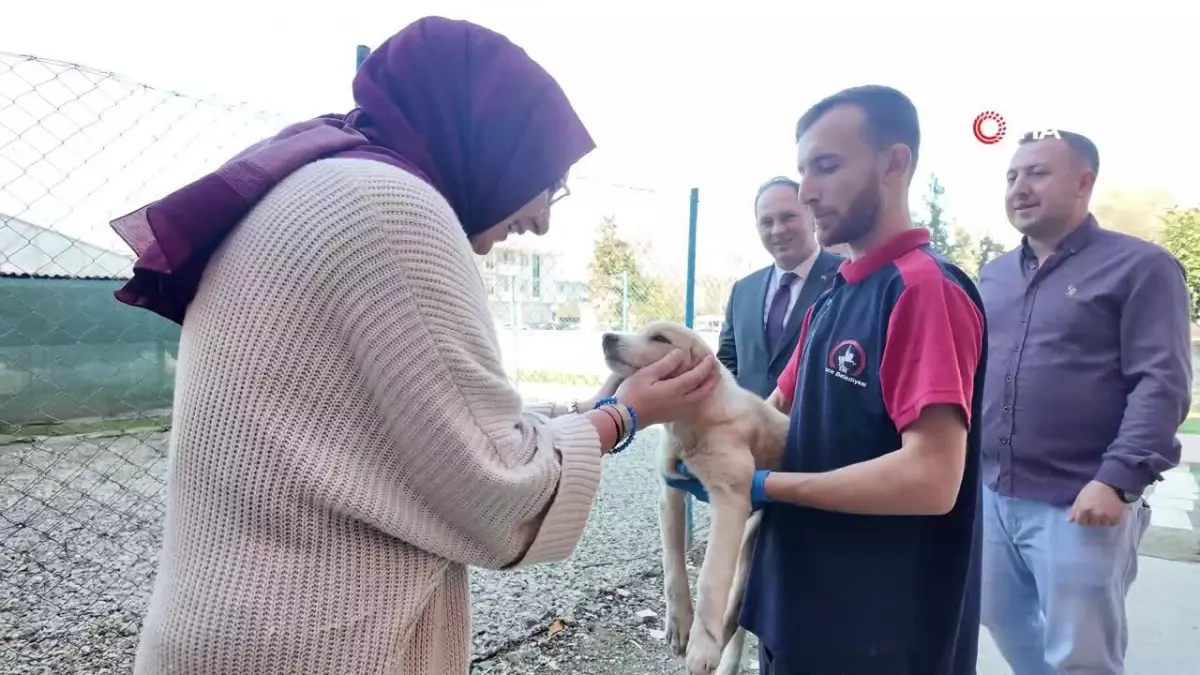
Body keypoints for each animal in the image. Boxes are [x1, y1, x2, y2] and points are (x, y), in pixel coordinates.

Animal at [597, 319, 787, 672]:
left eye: (660, 338)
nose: (607, 337)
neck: (691, 421)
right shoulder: (670, 490)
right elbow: (673, 562)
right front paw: (679, 624)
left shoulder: (731, 500)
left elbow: (710, 578)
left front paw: (701, 647)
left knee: (738, 612)